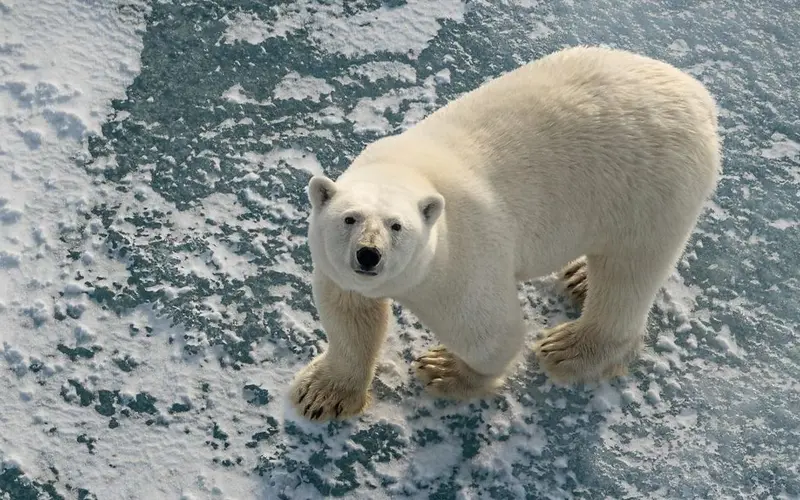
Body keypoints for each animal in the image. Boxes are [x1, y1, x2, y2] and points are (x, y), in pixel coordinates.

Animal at [289, 45, 721, 422]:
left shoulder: (463, 254)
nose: (368, 254)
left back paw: (568, 348)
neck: (407, 169)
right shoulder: (341, 270)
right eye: (350, 219)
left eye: (397, 226)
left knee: (628, 272)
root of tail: (699, 94)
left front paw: (445, 369)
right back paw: (580, 276)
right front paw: (320, 395)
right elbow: (349, 314)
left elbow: (490, 332)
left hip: (650, 189)